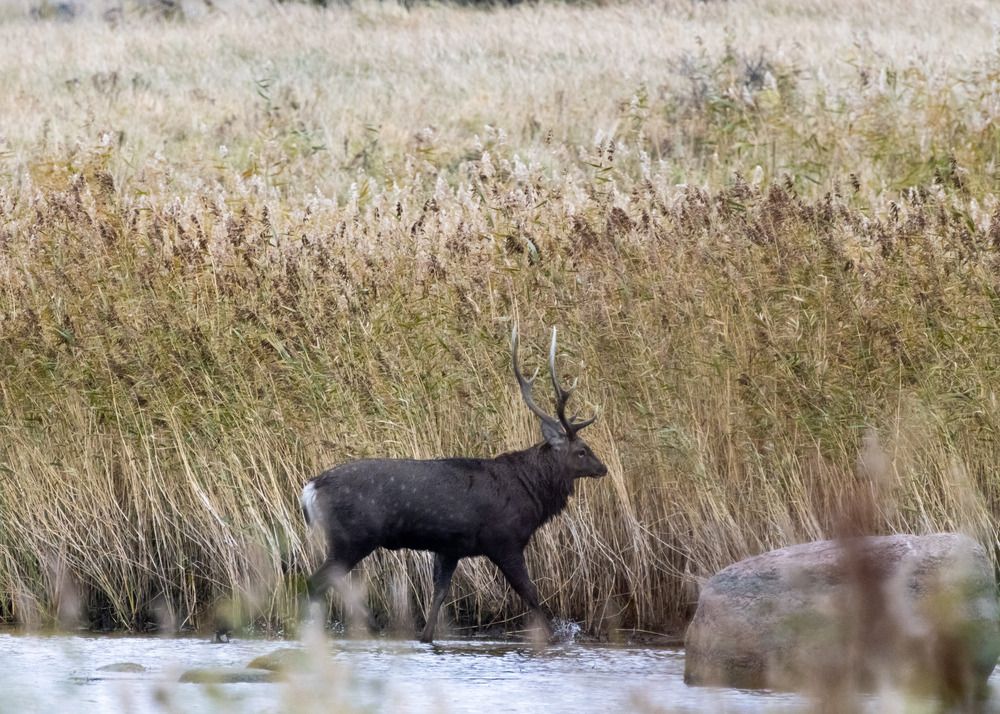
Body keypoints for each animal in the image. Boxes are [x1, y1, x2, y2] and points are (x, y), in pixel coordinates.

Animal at [299, 326, 607, 643]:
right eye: (582, 450)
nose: (603, 468)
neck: (529, 491)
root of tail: (310, 489)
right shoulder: (504, 540)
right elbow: (530, 594)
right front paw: (554, 638)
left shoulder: (450, 547)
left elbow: (439, 594)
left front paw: (425, 636)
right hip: (352, 536)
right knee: (314, 582)